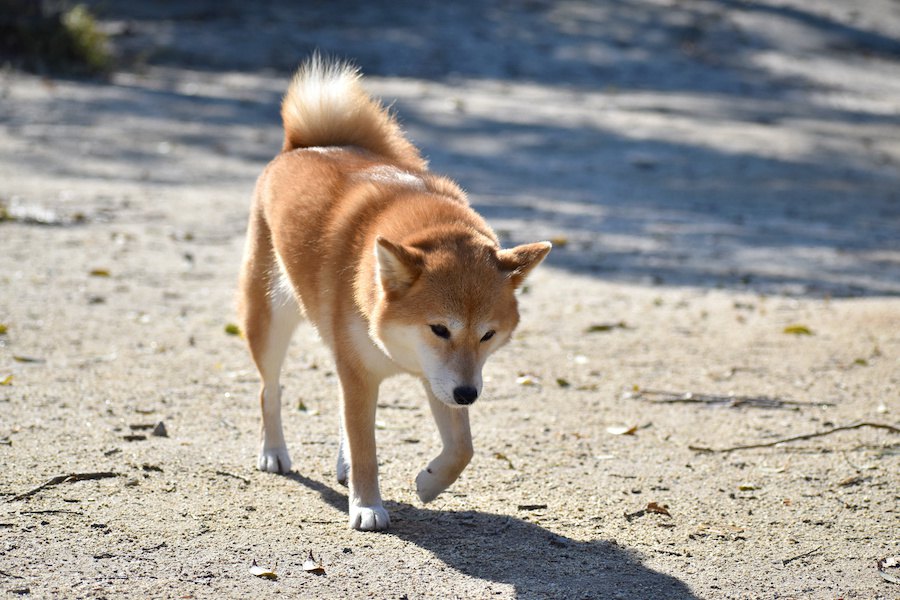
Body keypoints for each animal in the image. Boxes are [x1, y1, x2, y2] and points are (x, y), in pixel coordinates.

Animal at [237, 57, 548, 528]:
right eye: (439, 329)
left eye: (488, 335)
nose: (469, 395)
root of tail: (304, 146)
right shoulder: (364, 374)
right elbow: (366, 448)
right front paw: (367, 506)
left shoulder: (438, 377)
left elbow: (462, 448)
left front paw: (429, 483)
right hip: (270, 318)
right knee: (269, 390)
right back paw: (273, 451)